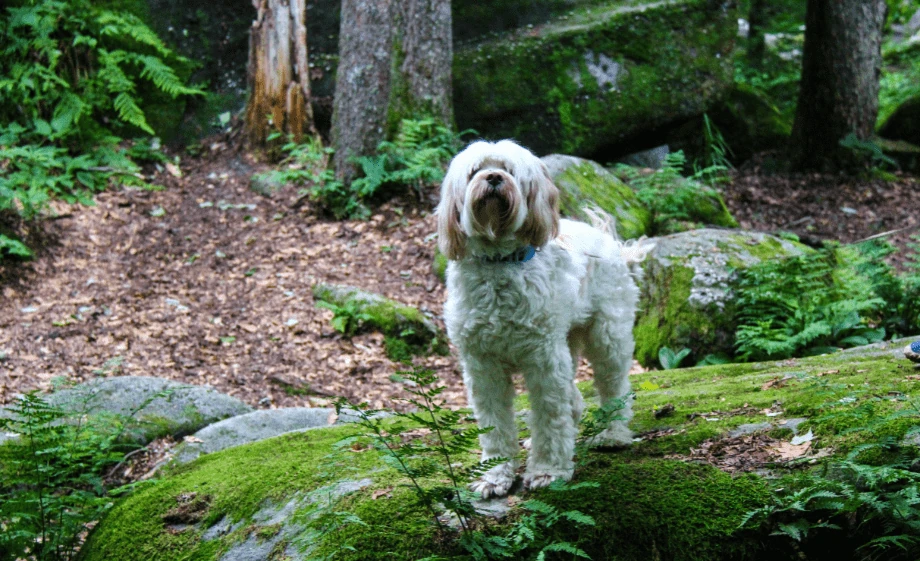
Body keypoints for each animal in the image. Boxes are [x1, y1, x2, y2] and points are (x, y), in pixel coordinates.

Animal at [436, 141, 648, 498]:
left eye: (508, 170)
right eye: (475, 170)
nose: (494, 178)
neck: (500, 263)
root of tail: (608, 239)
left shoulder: (543, 358)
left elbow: (550, 415)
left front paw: (548, 470)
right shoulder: (482, 364)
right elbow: (494, 422)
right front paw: (495, 475)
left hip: (607, 337)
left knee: (614, 387)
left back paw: (614, 434)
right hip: (567, 340)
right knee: (574, 395)